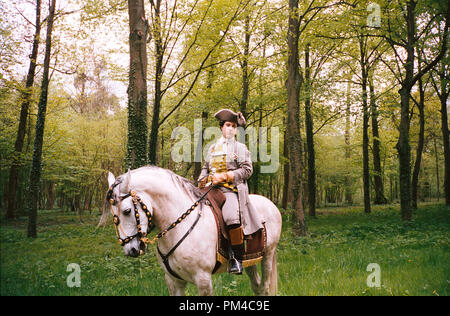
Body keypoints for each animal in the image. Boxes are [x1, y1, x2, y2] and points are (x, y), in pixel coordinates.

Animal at [99, 165, 282, 296]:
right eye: (113, 215)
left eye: (127, 211)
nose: (131, 250)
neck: (179, 227)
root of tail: (271, 205)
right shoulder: (174, 281)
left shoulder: (203, 280)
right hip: (251, 261)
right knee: (257, 287)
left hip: (267, 256)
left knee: (264, 288)